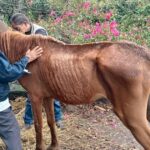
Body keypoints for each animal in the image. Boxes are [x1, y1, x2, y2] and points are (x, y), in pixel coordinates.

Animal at [0, 30, 150, 150]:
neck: (23, 50)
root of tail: (144, 55)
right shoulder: (48, 96)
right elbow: (50, 121)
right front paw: (54, 145)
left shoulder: (34, 95)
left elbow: (38, 125)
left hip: (131, 116)